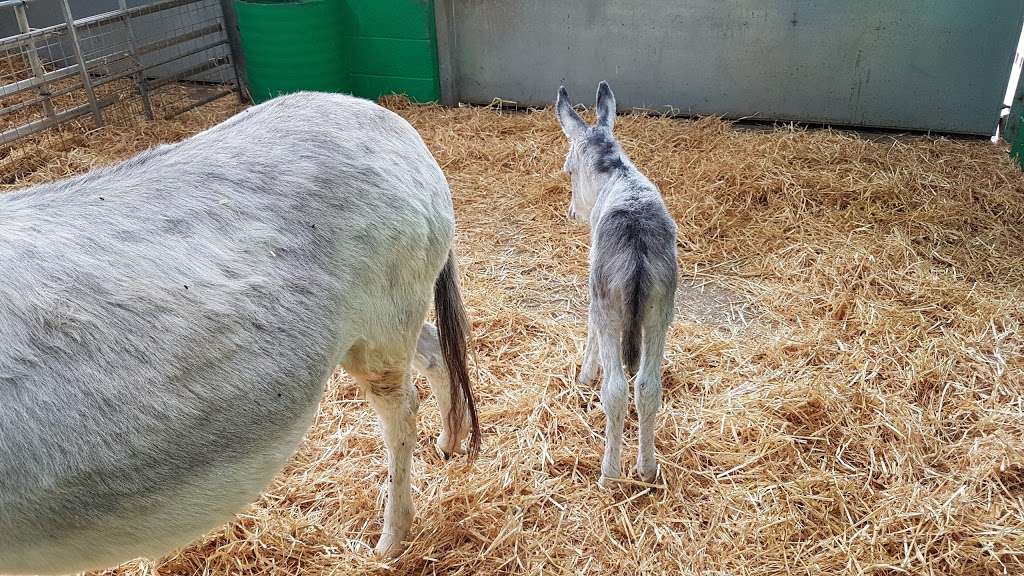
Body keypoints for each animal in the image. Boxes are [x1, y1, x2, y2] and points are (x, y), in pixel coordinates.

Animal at [557, 80, 675, 483]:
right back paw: (647, 468)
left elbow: (589, 329)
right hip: (660, 309)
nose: (572, 211)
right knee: (648, 386)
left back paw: (609, 473)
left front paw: (583, 374)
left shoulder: (595, 293)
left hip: (609, 302)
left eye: (569, 170)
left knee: (617, 389)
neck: (617, 174)